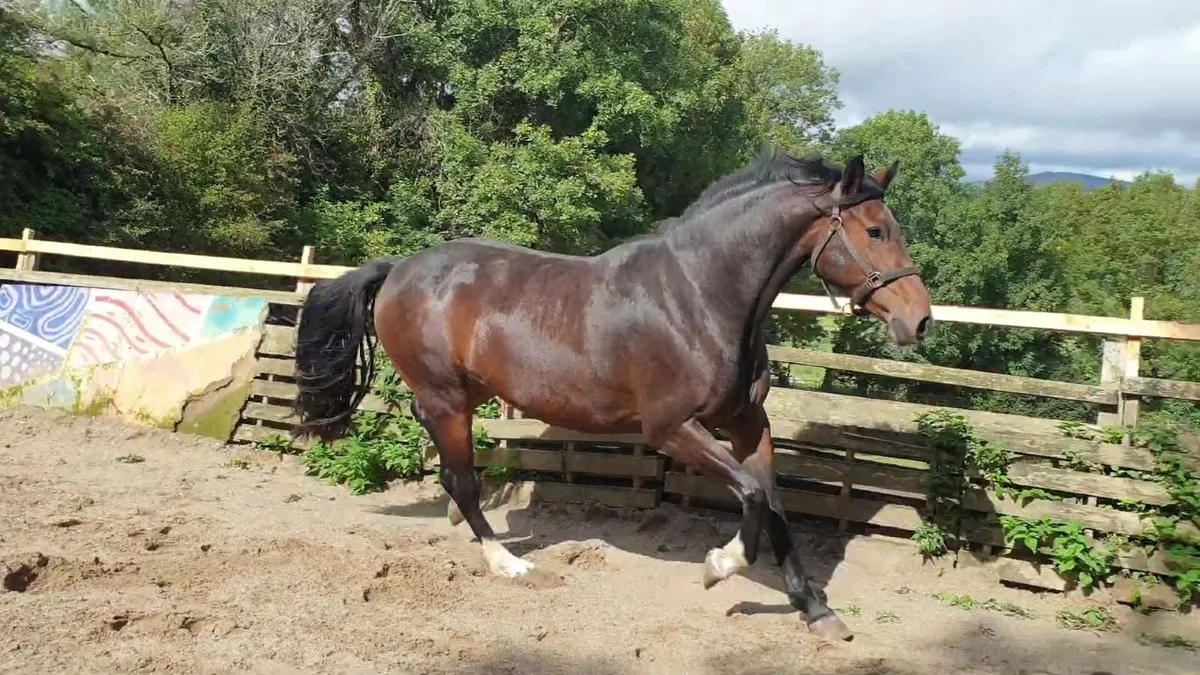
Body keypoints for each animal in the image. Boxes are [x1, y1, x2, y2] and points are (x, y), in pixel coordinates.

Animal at [290, 149, 933, 642]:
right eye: (875, 231)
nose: (919, 321)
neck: (700, 297)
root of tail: (400, 269)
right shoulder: (670, 429)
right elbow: (751, 496)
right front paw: (718, 567)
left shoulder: (749, 423)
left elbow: (773, 504)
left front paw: (818, 611)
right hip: (445, 398)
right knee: (462, 479)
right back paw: (508, 563)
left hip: (458, 399)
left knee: (454, 476)